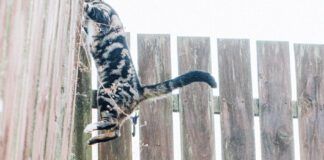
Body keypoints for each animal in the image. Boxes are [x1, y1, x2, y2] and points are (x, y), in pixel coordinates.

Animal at [82, 0, 216, 145]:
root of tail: (139, 89)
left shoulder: (105, 15)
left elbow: (93, 10)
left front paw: (85, 6)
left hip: (106, 93)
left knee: (110, 123)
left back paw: (90, 128)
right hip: (119, 111)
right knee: (116, 131)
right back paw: (94, 139)